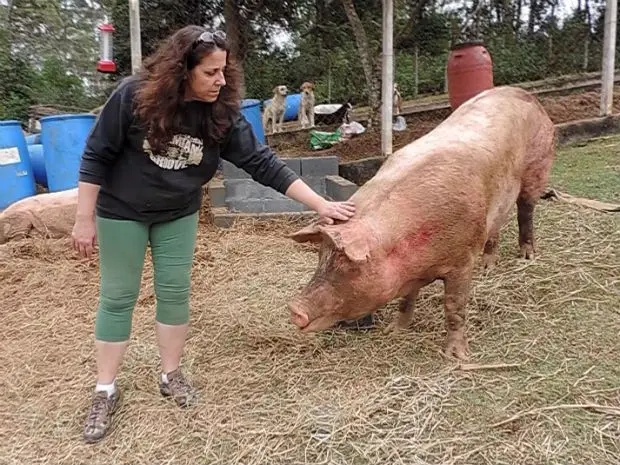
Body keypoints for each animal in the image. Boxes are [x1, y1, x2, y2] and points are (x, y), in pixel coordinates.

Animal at [286, 85, 556, 358]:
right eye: (321, 256)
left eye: (348, 266)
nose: (294, 308)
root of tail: (523, 93)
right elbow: (406, 300)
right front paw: (394, 331)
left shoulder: (463, 261)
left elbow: (454, 306)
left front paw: (456, 356)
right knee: (497, 226)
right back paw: (488, 267)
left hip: (537, 167)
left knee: (526, 211)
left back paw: (527, 256)